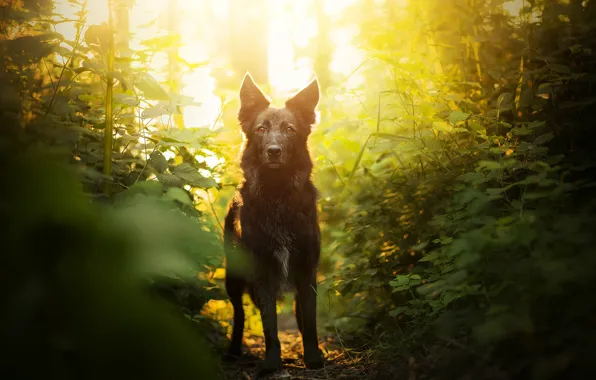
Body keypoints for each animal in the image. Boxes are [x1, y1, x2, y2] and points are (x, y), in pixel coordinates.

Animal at [225, 72, 326, 376]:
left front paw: (313, 358)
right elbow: (269, 323)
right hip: (233, 279)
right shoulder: (262, 270)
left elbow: (310, 320)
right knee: (239, 314)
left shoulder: (306, 269)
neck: (277, 194)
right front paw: (271, 363)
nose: (273, 151)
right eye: (261, 129)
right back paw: (233, 350)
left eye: (290, 130)